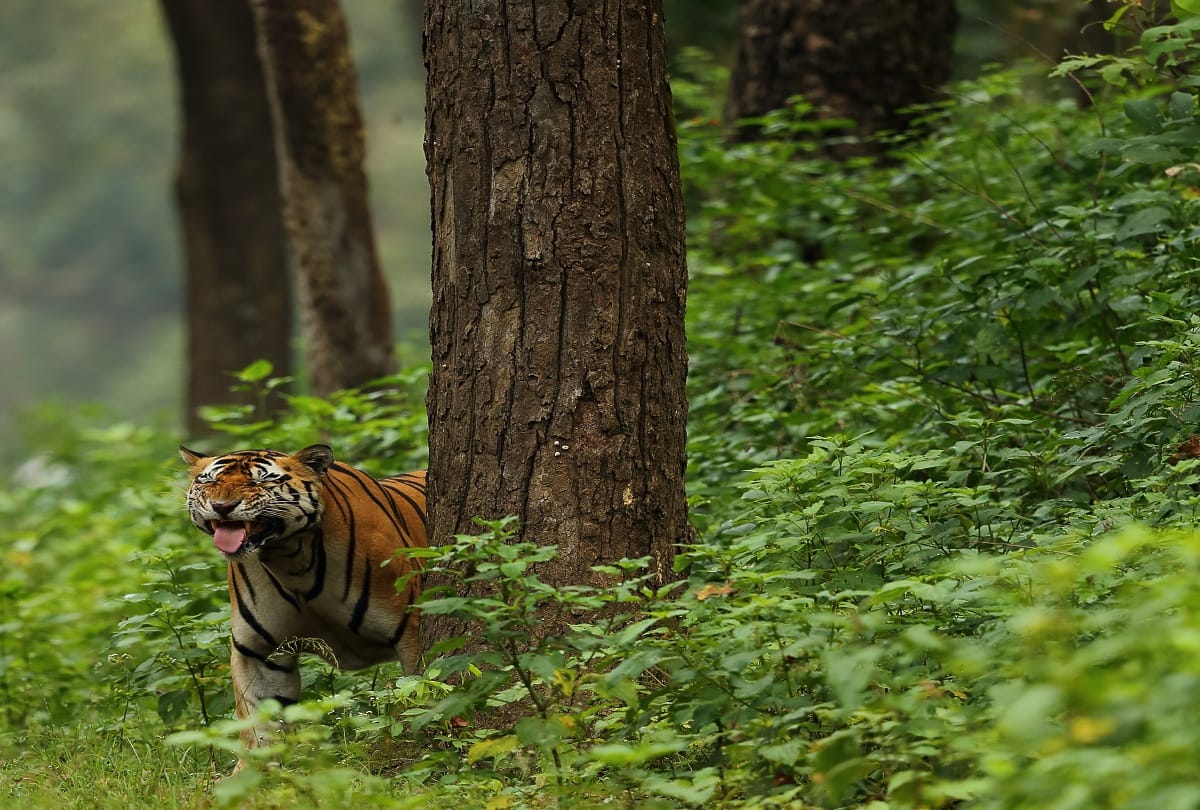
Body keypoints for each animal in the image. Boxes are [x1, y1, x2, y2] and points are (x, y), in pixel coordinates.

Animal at [178, 443, 427, 760]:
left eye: (261, 481)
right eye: (208, 481)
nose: (222, 506)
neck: (290, 558)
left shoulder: (412, 628)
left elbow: (421, 690)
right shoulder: (258, 651)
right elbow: (259, 728)